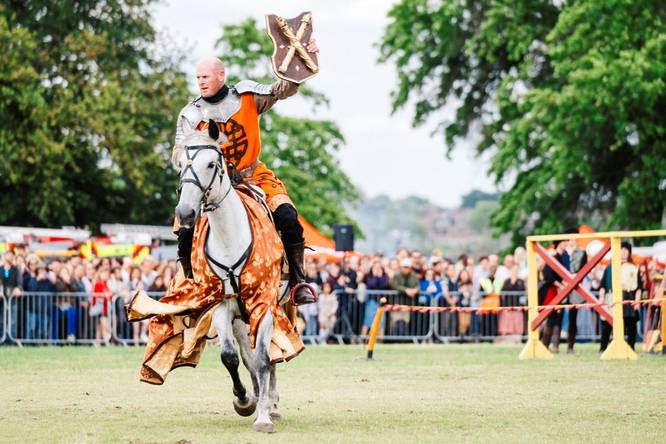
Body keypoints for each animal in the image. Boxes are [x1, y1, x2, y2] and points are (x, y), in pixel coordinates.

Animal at [174, 120, 284, 433]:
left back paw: (271, 404)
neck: (229, 237)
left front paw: (263, 416)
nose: (185, 212)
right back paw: (258, 397)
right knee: (247, 356)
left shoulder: (264, 304)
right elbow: (230, 357)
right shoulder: (223, 307)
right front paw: (244, 401)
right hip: (239, 319)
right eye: (180, 165)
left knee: (267, 358)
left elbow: (264, 358)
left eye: (212, 163)